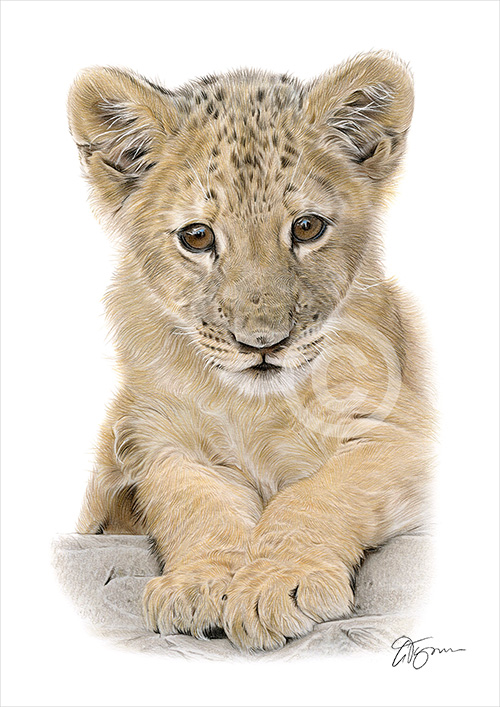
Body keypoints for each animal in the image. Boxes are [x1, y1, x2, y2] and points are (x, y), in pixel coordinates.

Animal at [68, 51, 434, 652]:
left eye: (306, 227)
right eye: (197, 237)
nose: (262, 343)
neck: (255, 406)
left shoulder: (404, 433)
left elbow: (320, 493)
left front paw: (279, 583)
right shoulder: (161, 439)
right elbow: (197, 505)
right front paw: (198, 585)